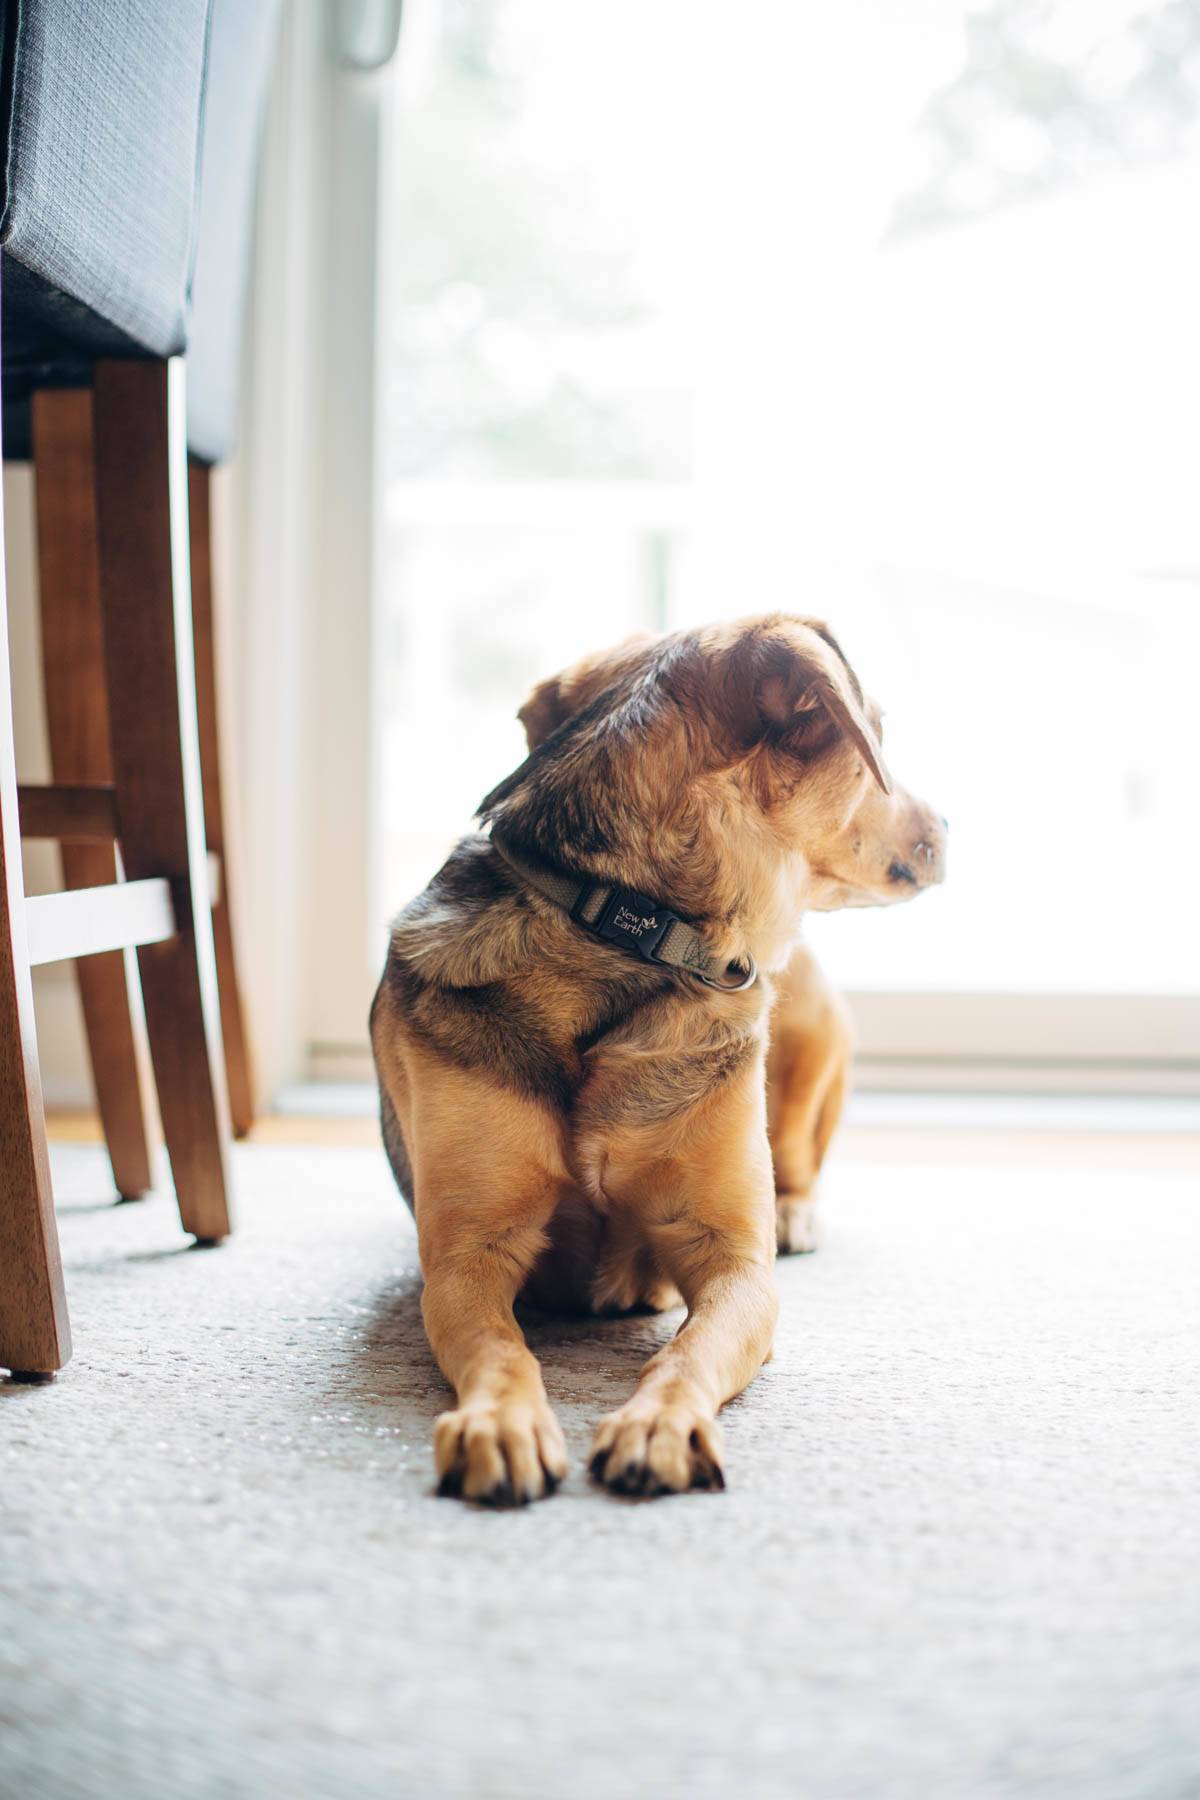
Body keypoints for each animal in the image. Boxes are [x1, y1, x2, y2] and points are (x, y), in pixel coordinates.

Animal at [370, 619, 942, 1504]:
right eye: (876, 730)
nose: (948, 826)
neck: (626, 925)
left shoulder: (735, 1265)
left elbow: (687, 1351)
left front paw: (659, 1423)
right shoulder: (468, 1259)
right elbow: (502, 1349)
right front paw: (500, 1420)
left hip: (809, 1032)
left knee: (800, 1159)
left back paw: (796, 1213)